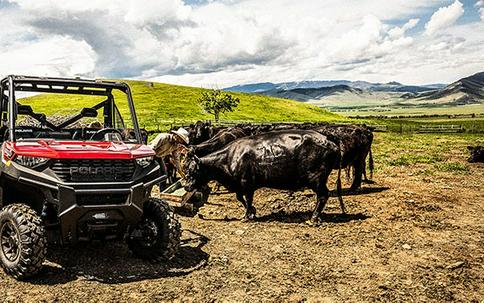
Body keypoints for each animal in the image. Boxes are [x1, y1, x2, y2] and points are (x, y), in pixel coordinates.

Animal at [182, 129, 344, 224]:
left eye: (192, 170)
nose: (186, 186)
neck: (229, 158)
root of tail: (329, 139)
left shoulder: (246, 183)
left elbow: (247, 199)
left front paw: (247, 216)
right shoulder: (240, 186)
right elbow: (241, 198)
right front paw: (252, 211)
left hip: (316, 179)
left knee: (323, 196)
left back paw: (314, 218)